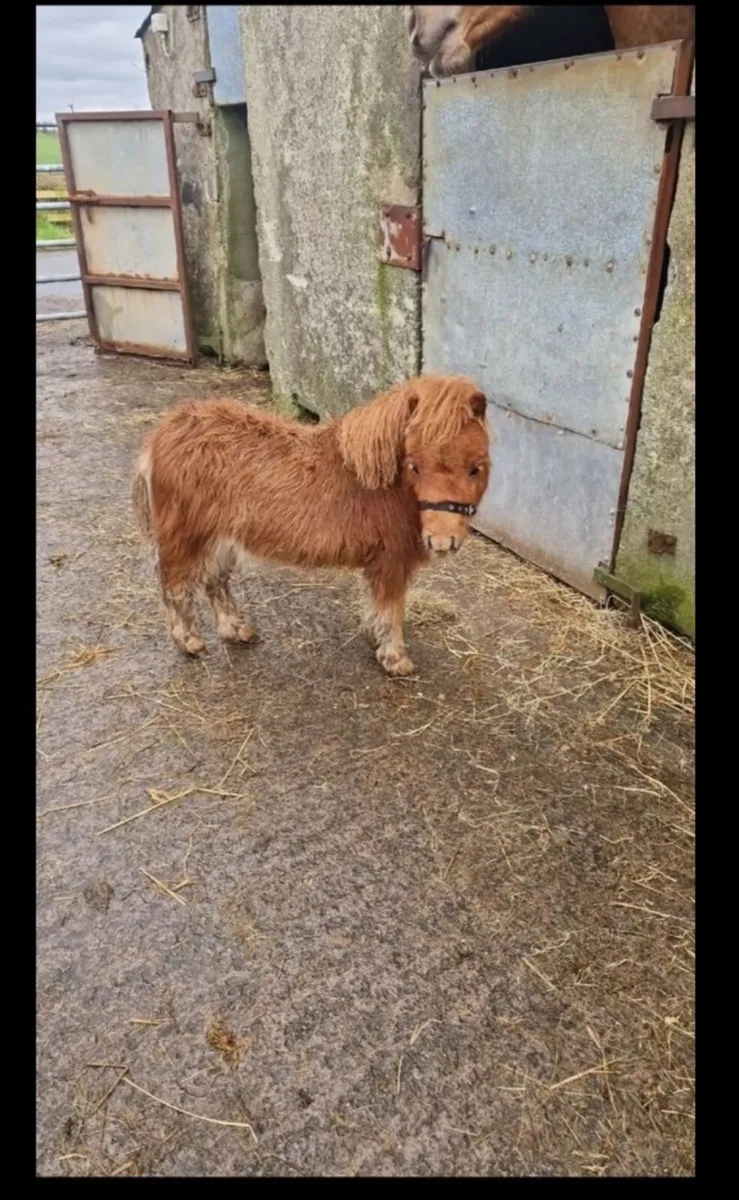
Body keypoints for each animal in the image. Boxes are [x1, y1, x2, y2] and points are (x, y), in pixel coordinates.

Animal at [133, 375, 491, 678]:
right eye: (415, 465)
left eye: (475, 468)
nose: (442, 541)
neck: (381, 482)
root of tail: (164, 432)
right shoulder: (391, 561)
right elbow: (390, 611)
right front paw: (395, 659)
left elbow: (375, 606)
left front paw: (373, 640)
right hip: (185, 538)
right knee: (176, 587)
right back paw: (189, 642)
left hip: (220, 538)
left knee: (214, 581)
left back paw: (237, 630)